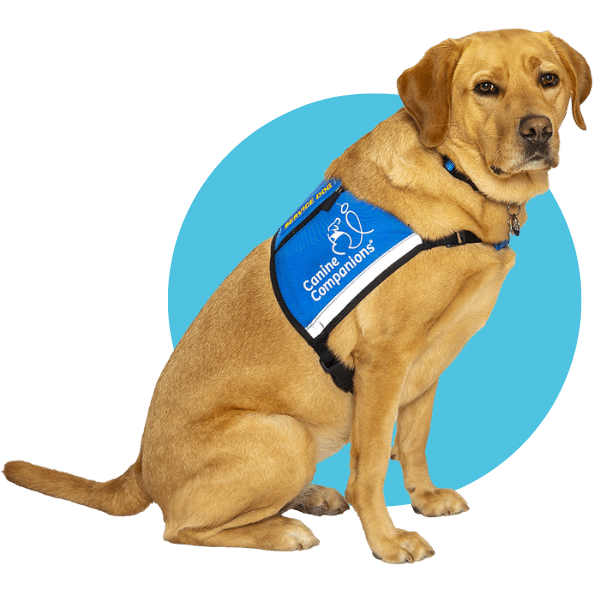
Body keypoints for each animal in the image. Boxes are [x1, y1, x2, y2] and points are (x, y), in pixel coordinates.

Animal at [1, 28, 592, 564]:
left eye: (548, 80)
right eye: (485, 87)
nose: (537, 131)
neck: (457, 181)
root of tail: (141, 468)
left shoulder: (428, 363)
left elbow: (414, 439)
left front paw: (423, 498)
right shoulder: (384, 360)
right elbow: (370, 465)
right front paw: (387, 542)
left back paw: (307, 498)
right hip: (286, 435)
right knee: (183, 528)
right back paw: (283, 530)